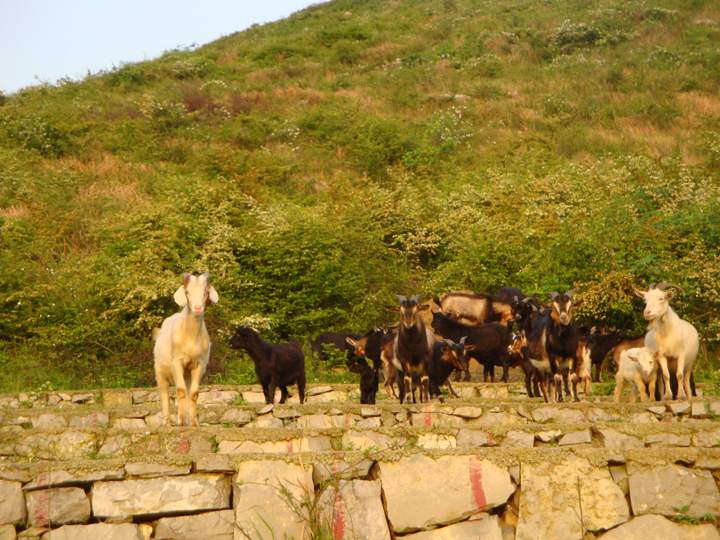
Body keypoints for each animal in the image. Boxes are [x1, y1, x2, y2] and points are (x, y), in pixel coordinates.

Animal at [153, 272, 218, 428]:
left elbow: (193, 394)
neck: (191, 335)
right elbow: (180, 391)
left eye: (206, 292)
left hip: (188, 374)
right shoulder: (176, 362)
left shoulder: (200, 365)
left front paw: (193, 423)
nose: (197, 308)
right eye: (187, 292)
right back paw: (167, 423)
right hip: (159, 371)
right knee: (164, 394)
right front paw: (181, 421)